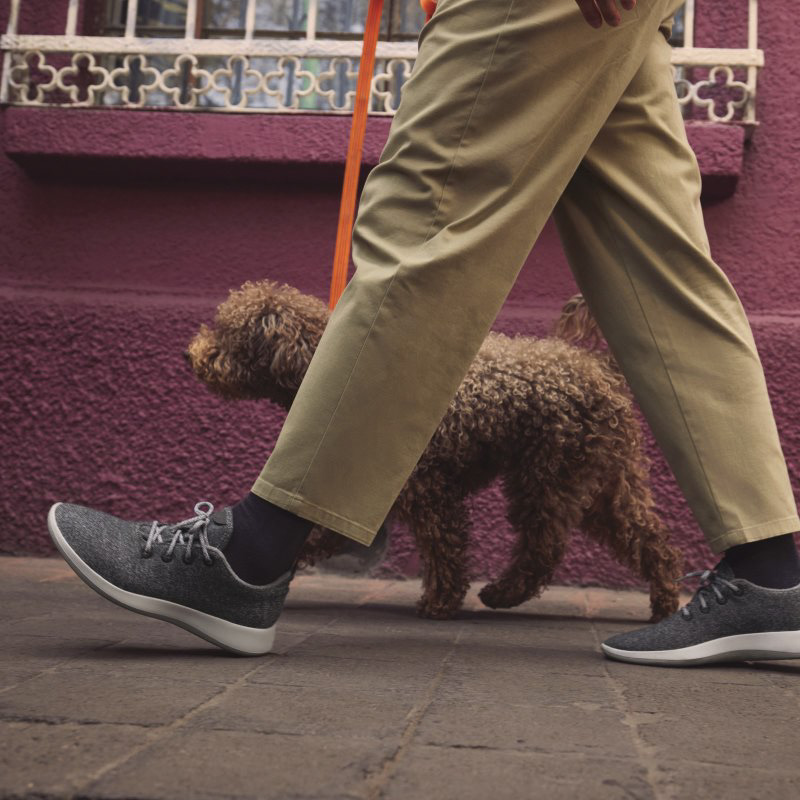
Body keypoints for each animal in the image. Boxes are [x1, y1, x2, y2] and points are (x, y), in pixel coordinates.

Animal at [188, 278, 680, 620]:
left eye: (229, 337)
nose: (190, 354)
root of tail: (599, 368)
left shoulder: (428, 492)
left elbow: (446, 546)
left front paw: (442, 601)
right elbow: (316, 533)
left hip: (548, 475)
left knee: (543, 548)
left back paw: (502, 593)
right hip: (604, 480)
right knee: (649, 538)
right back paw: (664, 601)